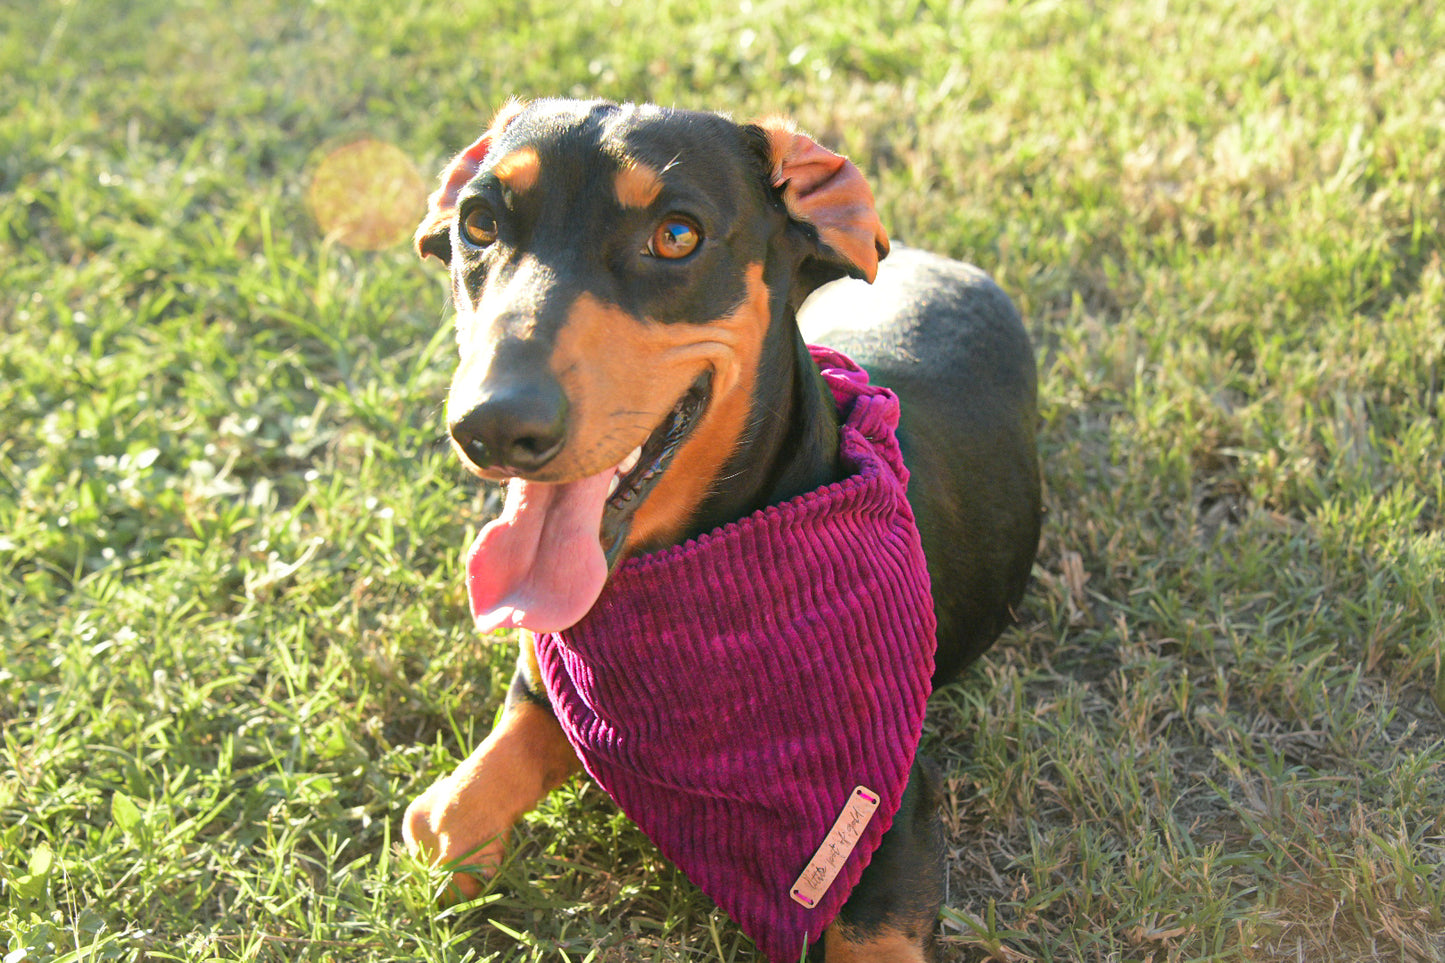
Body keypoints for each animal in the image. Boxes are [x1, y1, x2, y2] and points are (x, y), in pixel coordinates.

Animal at [404, 99, 1040, 960]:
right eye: (477, 222)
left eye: (677, 235)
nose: (493, 426)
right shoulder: (547, 687)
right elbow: (445, 816)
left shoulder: (890, 807)